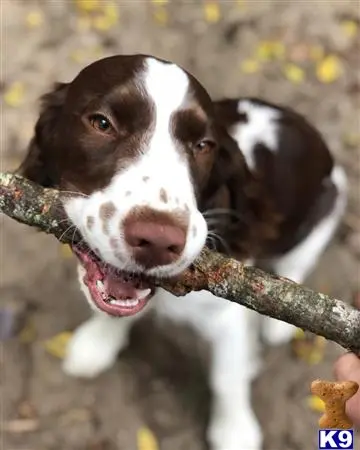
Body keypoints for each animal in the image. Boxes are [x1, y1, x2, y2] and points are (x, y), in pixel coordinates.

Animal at [17, 54, 348, 448]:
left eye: (203, 145)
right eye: (101, 123)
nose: (159, 240)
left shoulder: (226, 314)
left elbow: (226, 376)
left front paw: (235, 431)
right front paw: (96, 344)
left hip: (330, 199)